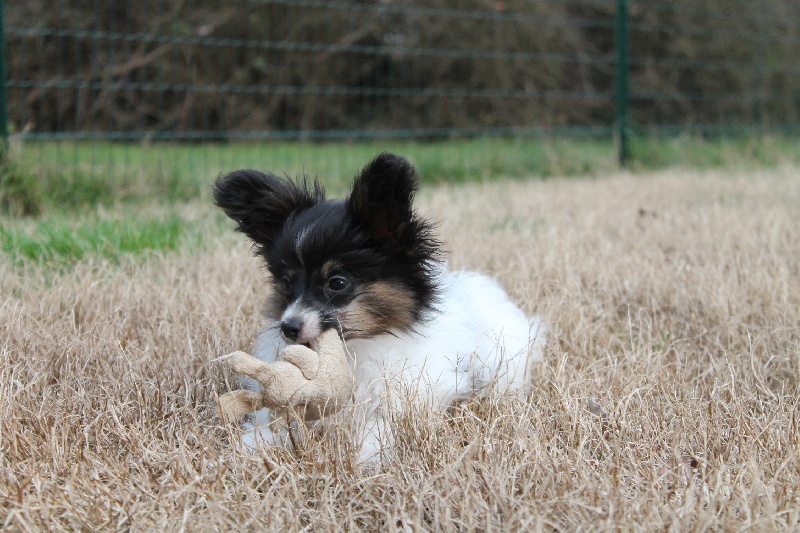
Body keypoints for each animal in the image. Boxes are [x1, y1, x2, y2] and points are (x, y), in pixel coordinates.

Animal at [214, 152, 547, 460]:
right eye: (285, 282)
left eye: (337, 283)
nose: (289, 328)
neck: (355, 350)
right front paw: (254, 443)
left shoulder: (413, 397)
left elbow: (381, 429)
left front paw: (362, 457)